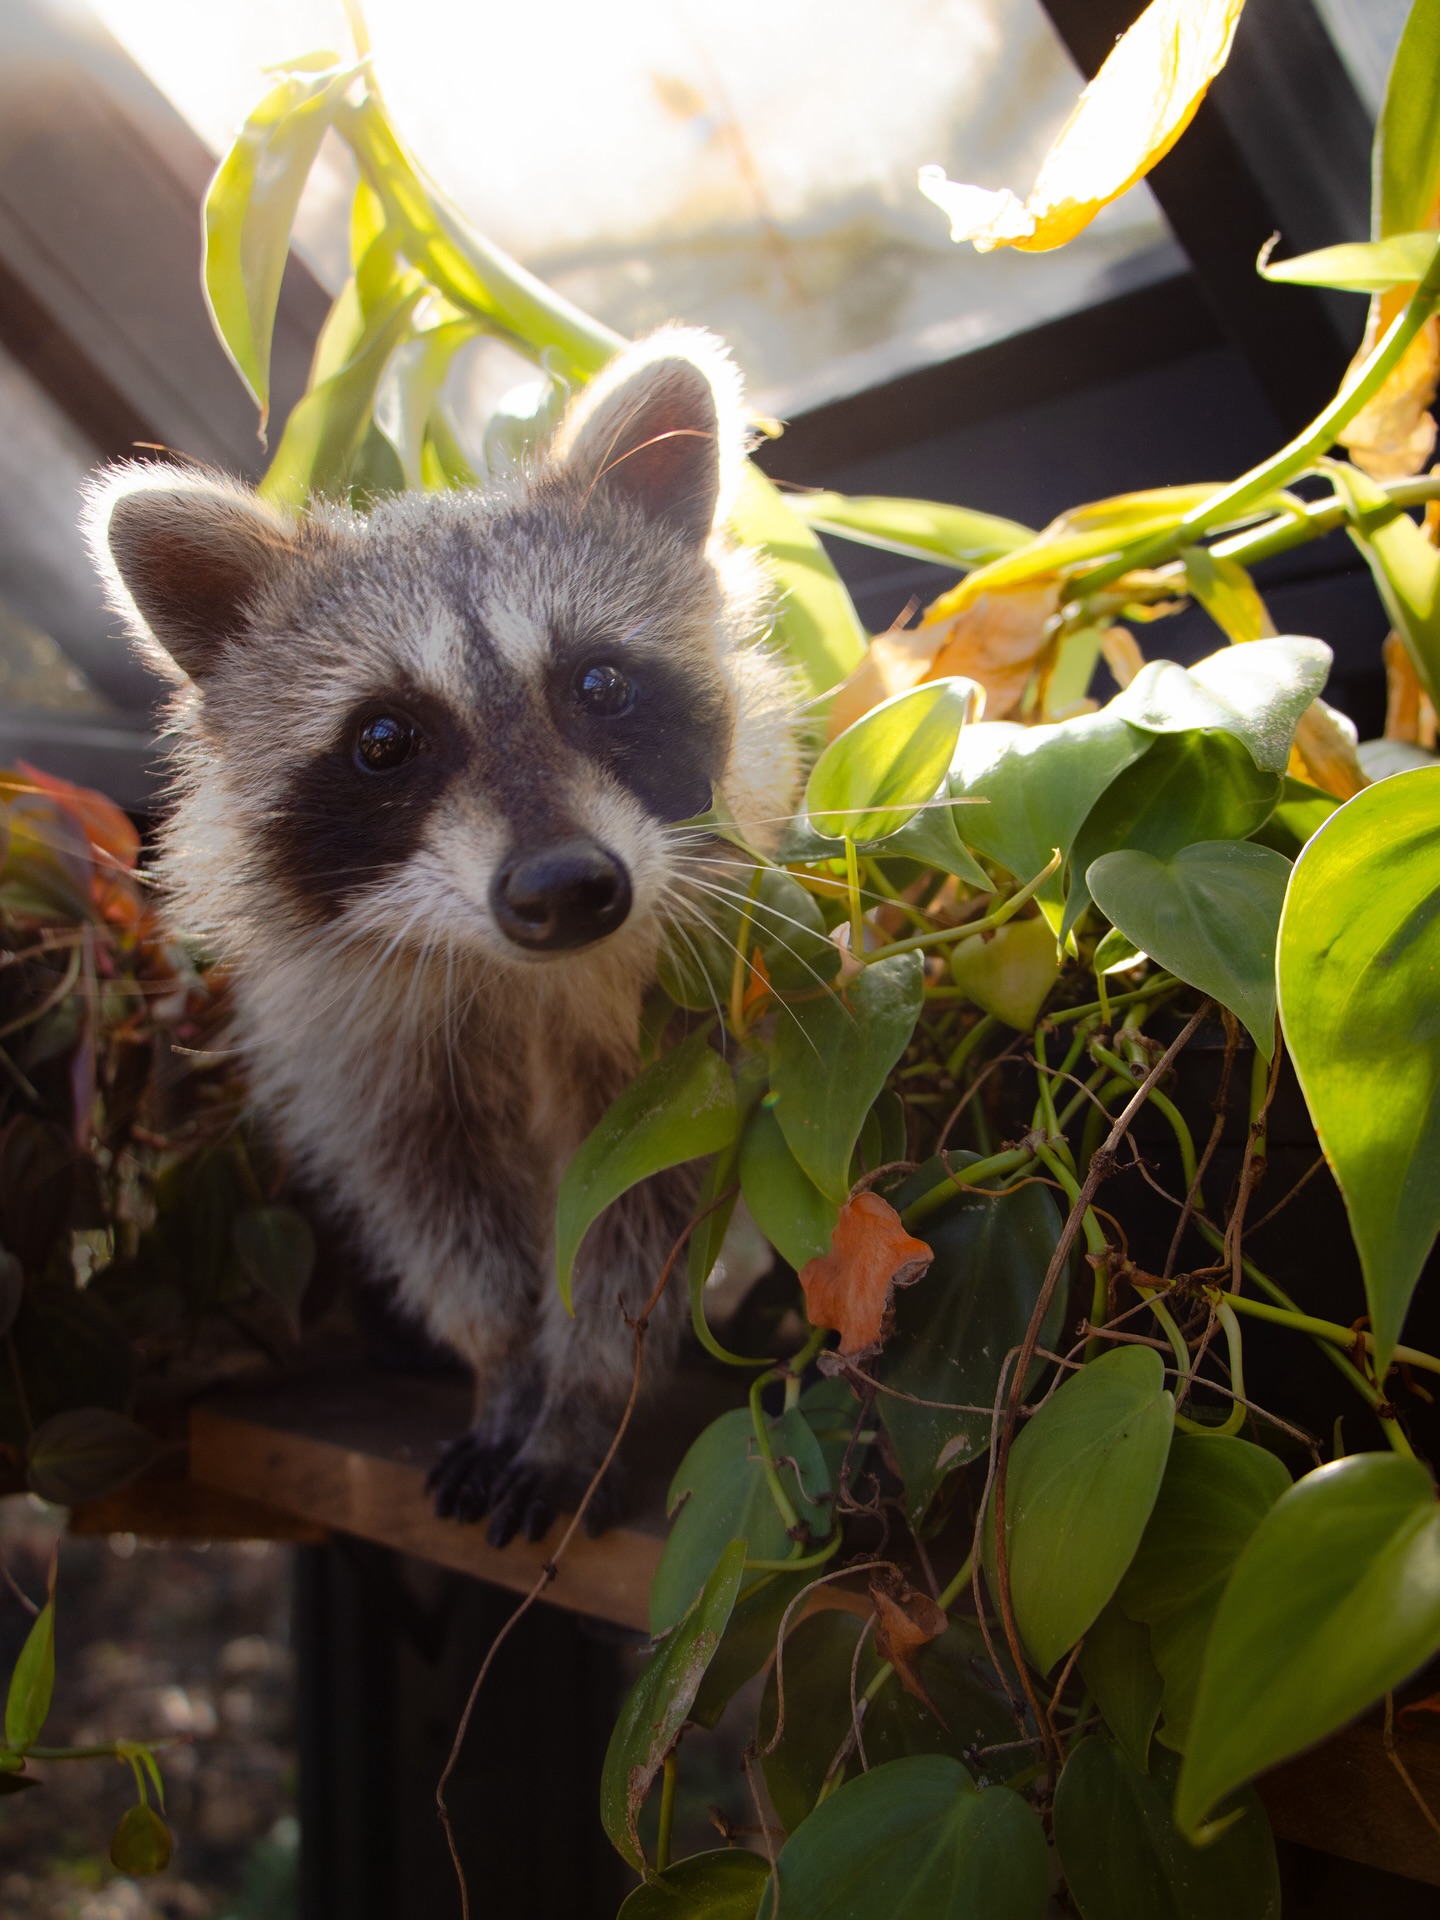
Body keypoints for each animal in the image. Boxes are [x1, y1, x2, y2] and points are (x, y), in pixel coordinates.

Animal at [84, 329, 801, 1546]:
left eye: (598, 683)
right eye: (385, 741)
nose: (566, 887)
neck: (518, 971)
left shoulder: (685, 1024)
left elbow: (636, 1221)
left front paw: (582, 1397)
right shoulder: (366, 1052)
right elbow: (439, 1207)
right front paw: (505, 1367)